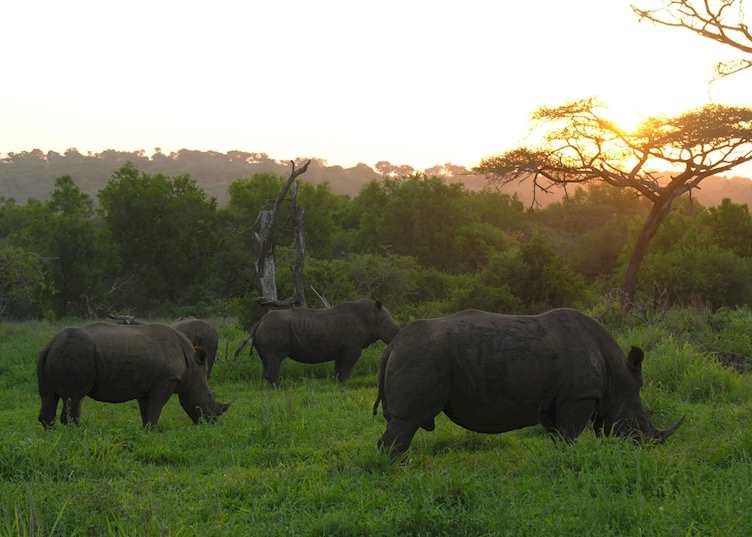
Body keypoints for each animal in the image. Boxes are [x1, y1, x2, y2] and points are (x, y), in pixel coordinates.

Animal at [37, 323, 230, 428]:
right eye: (209, 396)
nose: (212, 422)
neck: (192, 366)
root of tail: (51, 343)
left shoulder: (146, 386)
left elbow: (147, 410)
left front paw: (147, 431)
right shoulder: (165, 381)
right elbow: (155, 408)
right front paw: (155, 431)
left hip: (51, 354)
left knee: (48, 396)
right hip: (75, 353)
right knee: (75, 397)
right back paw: (76, 432)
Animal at [236, 298, 400, 386]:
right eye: (388, 327)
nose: (397, 337)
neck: (370, 316)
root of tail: (259, 322)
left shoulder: (342, 350)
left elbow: (339, 369)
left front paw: (337, 384)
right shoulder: (352, 348)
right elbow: (346, 368)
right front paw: (344, 384)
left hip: (267, 329)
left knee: (267, 360)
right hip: (273, 329)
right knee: (274, 359)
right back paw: (280, 388)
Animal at [373, 308, 684, 458]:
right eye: (638, 425)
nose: (643, 448)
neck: (615, 376)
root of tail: (393, 346)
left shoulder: (557, 401)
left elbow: (560, 437)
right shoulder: (580, 396)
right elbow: (570, 436)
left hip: (415, 354)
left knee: (399, 423)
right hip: (420, 356)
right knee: (406, 422)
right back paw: (401, 471)